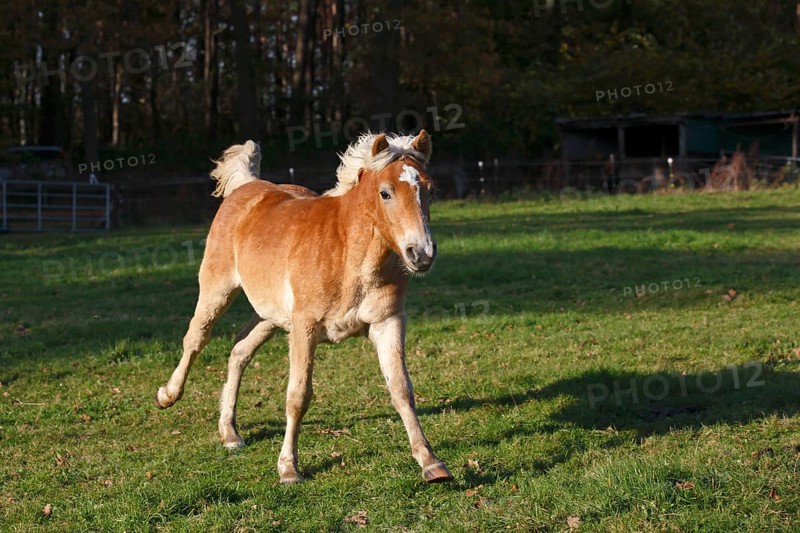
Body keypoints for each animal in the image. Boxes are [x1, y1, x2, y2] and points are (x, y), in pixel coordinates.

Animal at [154, 130, 453, 484]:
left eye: (430, 190)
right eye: (386, 193)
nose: (421, 254)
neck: (349, 255)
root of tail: (246, 187)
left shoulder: (388, 322)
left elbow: (401, 389)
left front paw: (431, 463)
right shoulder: (304, 327)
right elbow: (298, 396)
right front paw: (288, 468)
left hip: (270, 316)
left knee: (239, 350)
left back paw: (230, 432)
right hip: (218, 290)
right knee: (196, 339)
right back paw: (168, 396)